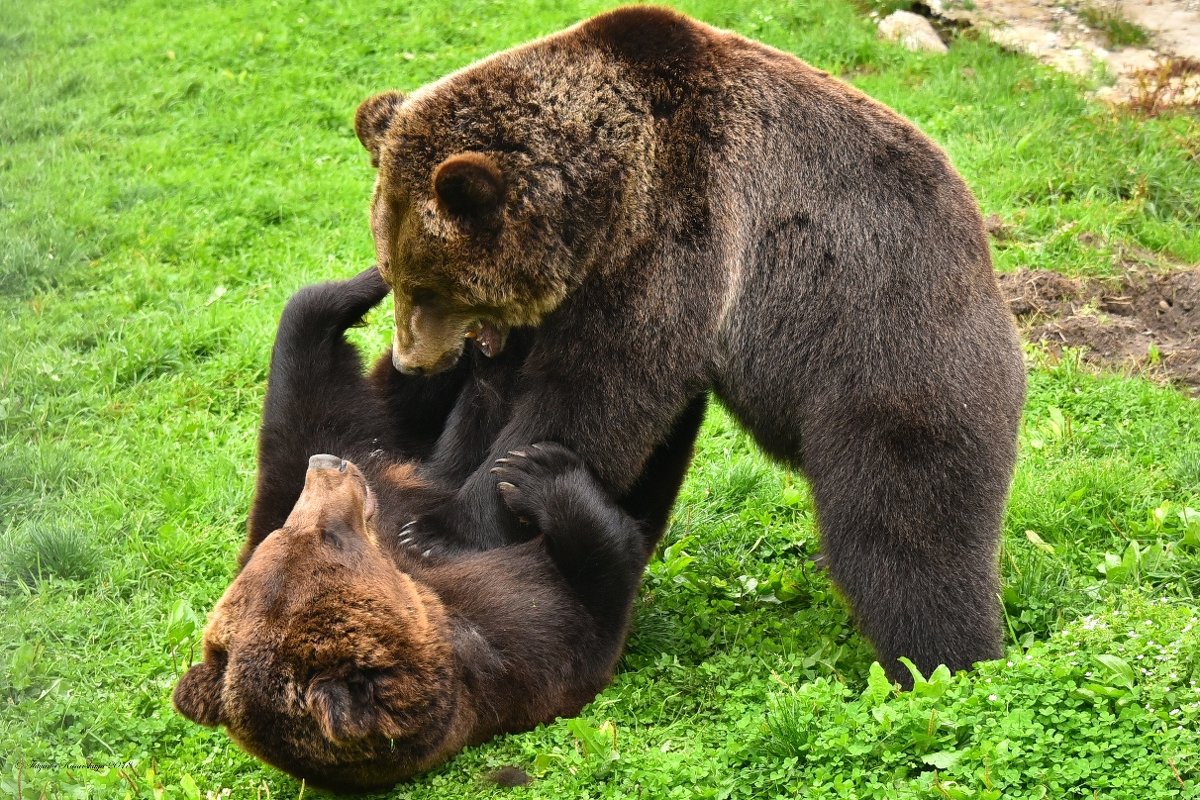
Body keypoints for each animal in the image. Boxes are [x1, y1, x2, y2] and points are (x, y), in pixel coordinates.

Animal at [174, 271, 705, 796]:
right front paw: (541, 473)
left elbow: (301, 401)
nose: (327, 466)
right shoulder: (528, 646)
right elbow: (607, 570)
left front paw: (352, 290)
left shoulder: (346, 477)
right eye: (328, 537)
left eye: (289, 534)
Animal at [352, 4, 1022, 690]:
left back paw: (944, 657)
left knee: (903, 514)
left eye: (429, 287)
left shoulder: (679, 231)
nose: (412, 359)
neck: (602, 194)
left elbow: (596, 392)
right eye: (393, 274)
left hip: (883, 342)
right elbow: (507, 395)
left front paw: (450, 521)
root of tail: (984, 255)